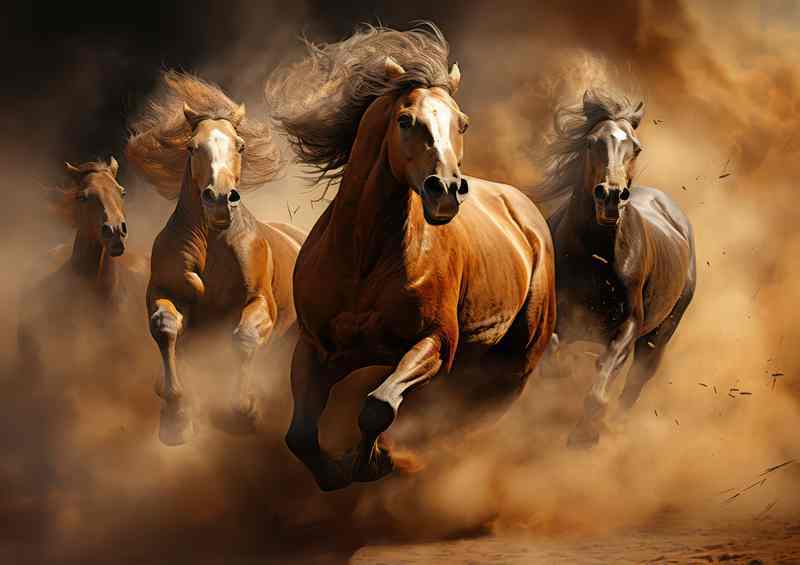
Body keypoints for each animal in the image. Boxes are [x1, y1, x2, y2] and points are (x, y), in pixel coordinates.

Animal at [126, 71, 305, 446]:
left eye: (240, 145)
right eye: (192, 146)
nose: (220, 199)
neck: (211, 246)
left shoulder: (260, 301)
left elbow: (244, 336)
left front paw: (241, 410)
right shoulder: (162, 292)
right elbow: (165, 327)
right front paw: (177, 414)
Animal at [265, 24, 556, 491]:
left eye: (462, 123)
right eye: (406, 120)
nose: (447, 190)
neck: (363, 261)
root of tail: (524, 210)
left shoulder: (435, 343)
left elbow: (378, 406)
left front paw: (375, 462)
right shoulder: (316, 349)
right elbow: (300, 435)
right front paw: (336, 473)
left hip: (515, 364)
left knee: (469, 424)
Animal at [537, 89, 696, 447]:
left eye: (636, 147)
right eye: (591, 142)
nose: (611, 195)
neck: (595, 255)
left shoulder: (629, 326)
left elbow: (601, 387)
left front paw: (585, 435)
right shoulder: (562, 317)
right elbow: (553, 353)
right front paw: (563, 371)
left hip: (658, 338)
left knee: (636, 382)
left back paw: (617, 427)